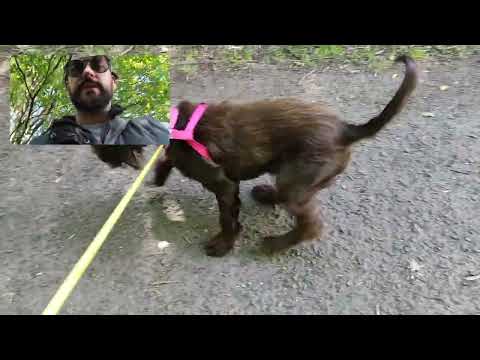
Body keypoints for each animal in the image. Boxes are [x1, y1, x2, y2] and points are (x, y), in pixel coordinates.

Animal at [153, 54, 416, 256]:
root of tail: (346, 130)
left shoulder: (222, 183)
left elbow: (227, 218)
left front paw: (223, 244)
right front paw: (158, 177)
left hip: (298, 180)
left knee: (311, 225)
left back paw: (275, 244)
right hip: (294, 177)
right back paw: (266, 194)